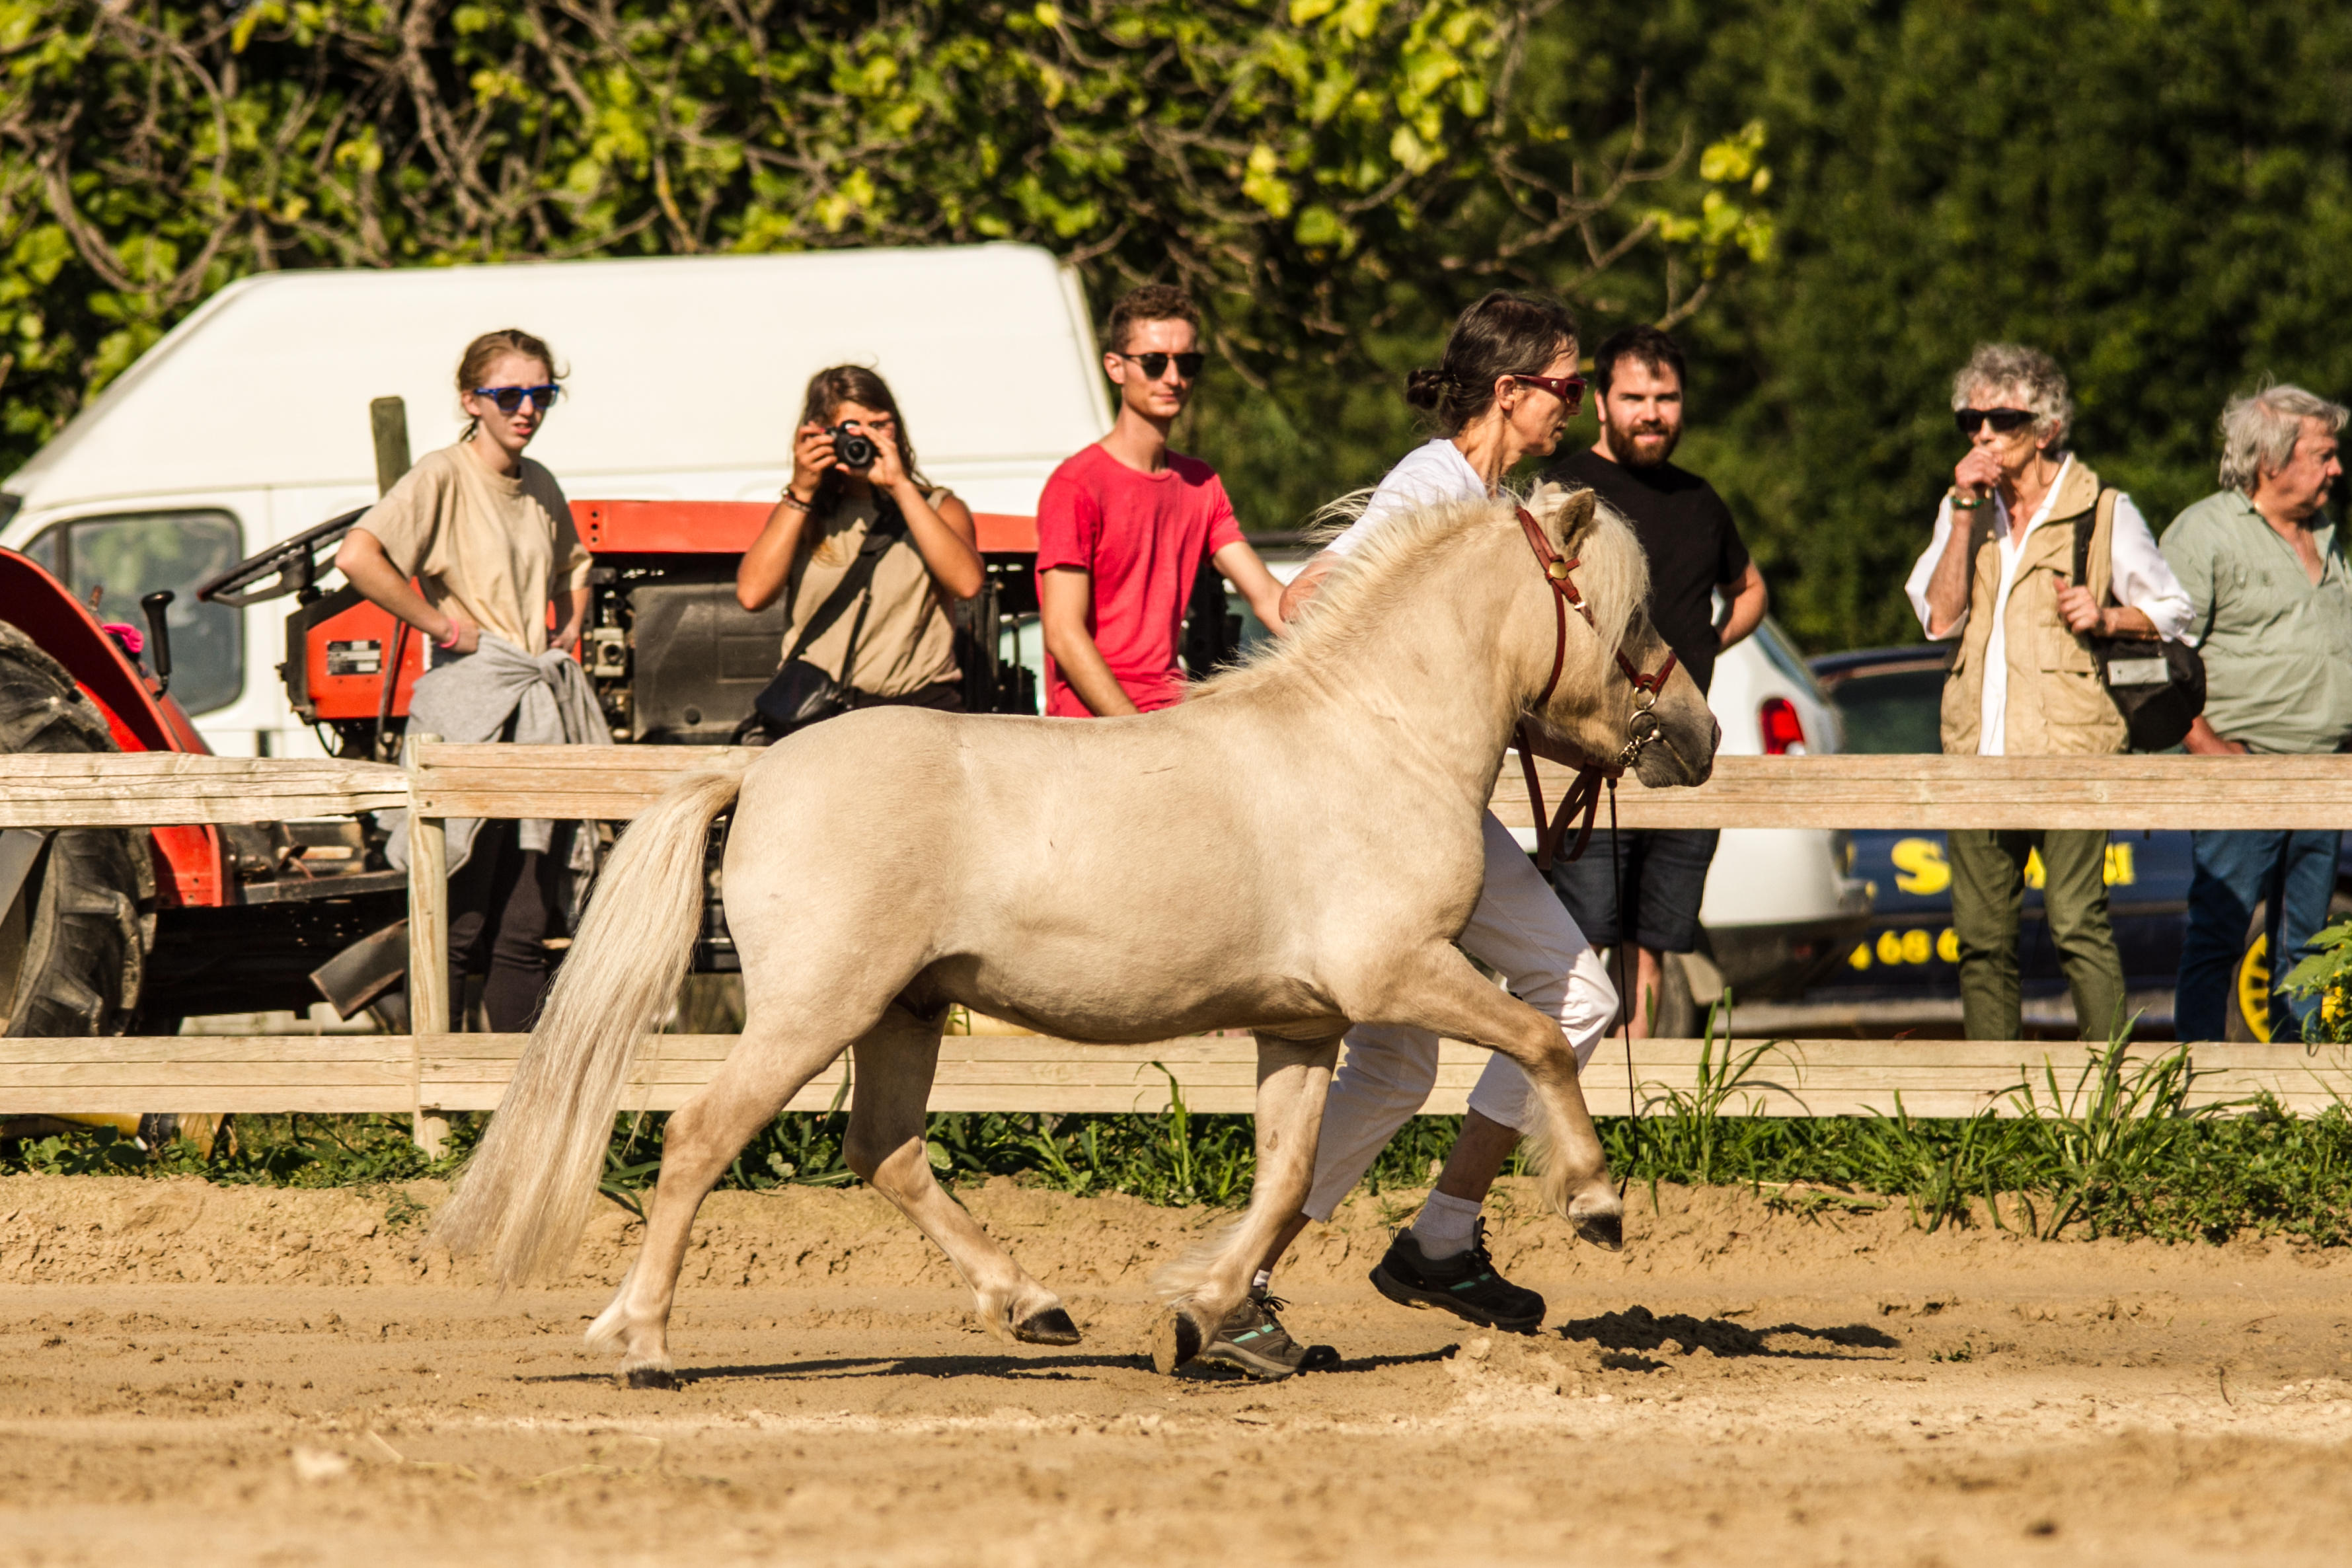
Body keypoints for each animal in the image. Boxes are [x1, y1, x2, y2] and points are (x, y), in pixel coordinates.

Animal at [442, 482, 1722, 1382]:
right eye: (1625, 608)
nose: (1698, 735)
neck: (1376, 735)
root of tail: (758, 772)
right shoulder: (1397, 975)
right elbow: (1541, 1041)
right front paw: (1595, 1203)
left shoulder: (1302, 1025)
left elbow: (1286, 1178)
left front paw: (1201, 1319)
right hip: (816, 1009)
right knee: (699, 1136)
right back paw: (646, 1342)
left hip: (904, 1011)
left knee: (885, 1150)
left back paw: (1031, 1305)